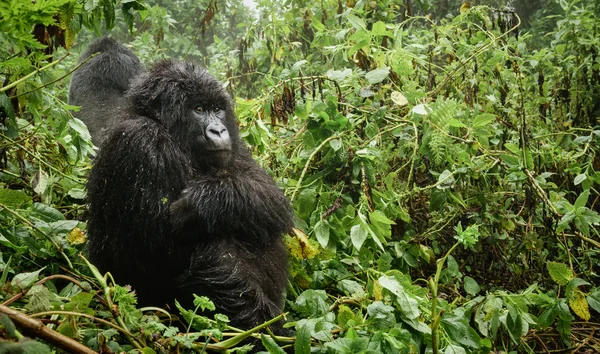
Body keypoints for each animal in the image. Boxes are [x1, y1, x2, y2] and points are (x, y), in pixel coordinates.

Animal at [72, 40, 296, 330]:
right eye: (198, 109)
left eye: (217, 108)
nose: (218, 131)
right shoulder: (140, 142)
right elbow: (158, 249)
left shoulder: (236, 146)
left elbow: (264, 193)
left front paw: (209, 199)